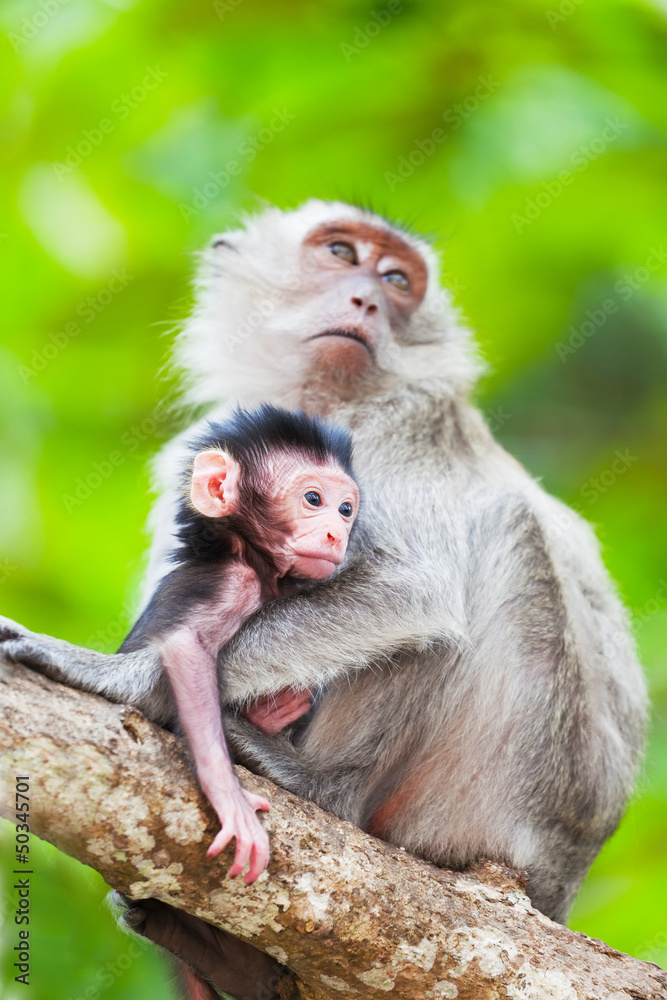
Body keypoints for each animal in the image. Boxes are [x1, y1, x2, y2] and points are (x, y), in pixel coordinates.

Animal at [122, 404, 358, 884]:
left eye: (346, 509)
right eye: (313, 500)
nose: (336, 535)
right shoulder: (233, 582)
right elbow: (186, 648)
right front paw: (226, 792)